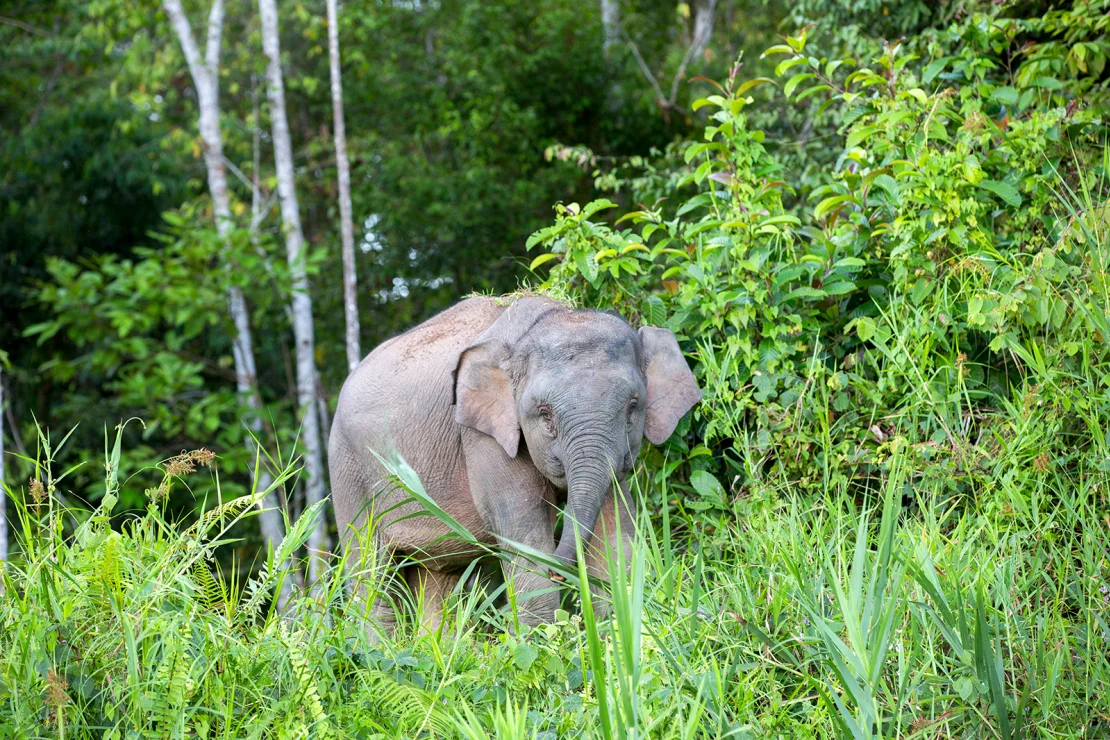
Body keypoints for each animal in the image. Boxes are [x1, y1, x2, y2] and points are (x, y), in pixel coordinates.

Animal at [324, 292, 697, 634]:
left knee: (435, 580)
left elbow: (616, 528)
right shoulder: (481, 436)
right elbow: (523, 529)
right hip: (348, 472)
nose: (558, 570)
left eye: (632, 406)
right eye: (544, 414)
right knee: (370, 573)